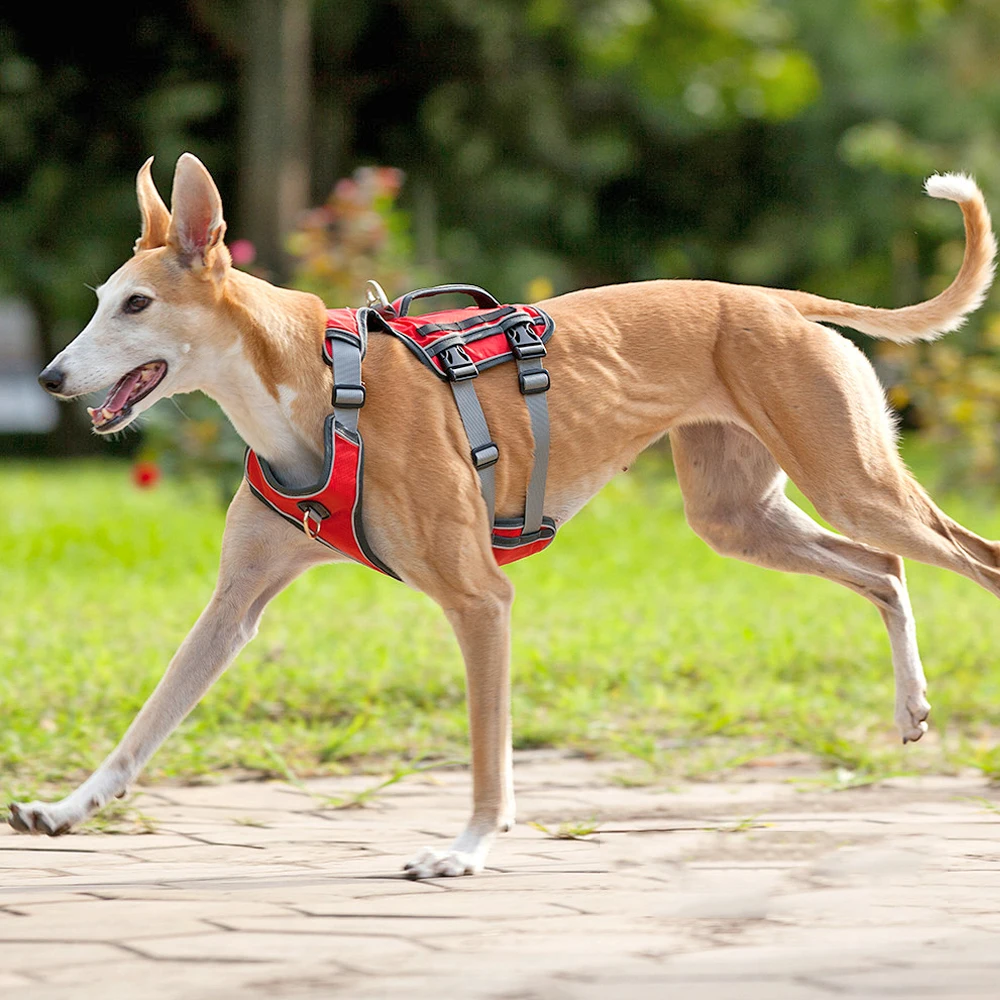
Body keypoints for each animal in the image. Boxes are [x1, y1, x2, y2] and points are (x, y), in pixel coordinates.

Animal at [11, 152, 996, 880]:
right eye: (101, 302)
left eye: (137, 303)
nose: (51, 379)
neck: (319, 388)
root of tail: (775, 298)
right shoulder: (232, 608)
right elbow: (144, 729)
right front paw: (63, 808)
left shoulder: (480, 600)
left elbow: (490, 749)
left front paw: (467, 848)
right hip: (744, 518)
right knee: (886, 574)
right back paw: (912, 705)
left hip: (854, 485)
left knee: (970, 554)